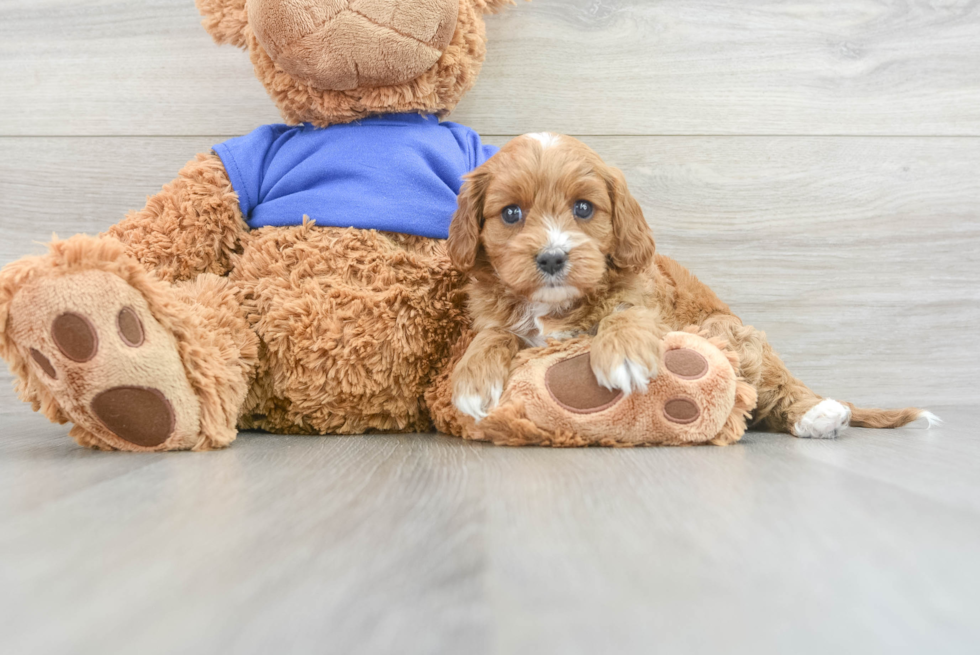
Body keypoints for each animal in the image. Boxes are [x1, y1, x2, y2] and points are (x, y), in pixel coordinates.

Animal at [446, 132, 936, 440]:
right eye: (511, 214)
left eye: (583, 208)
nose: (551, 258)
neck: (552, 306)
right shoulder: (498, 316)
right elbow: (494, 333)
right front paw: (473, 378)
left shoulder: (649, 303)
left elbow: (626, 313)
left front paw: (623, 354)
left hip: (732, 333)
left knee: (775, 388)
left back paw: (818, 414)